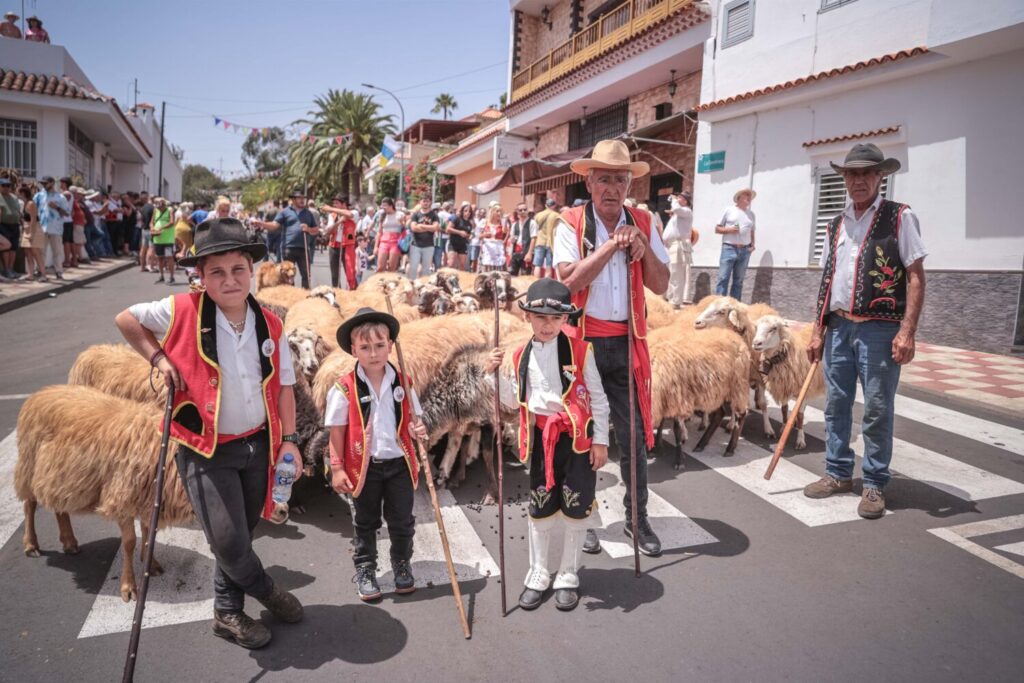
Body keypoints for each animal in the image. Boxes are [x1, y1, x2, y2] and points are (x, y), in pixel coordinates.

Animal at [647, 325, 753, 464]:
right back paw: (701, 444)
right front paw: (657, 447)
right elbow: (662, 423)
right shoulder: (666, 400)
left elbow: (676, 429)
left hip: (737, 385)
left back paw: (730, 448)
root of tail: (737, 338)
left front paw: (679, 460)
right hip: (716, 391)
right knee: (720, 414)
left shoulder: (678, 399)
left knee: (741, 415)